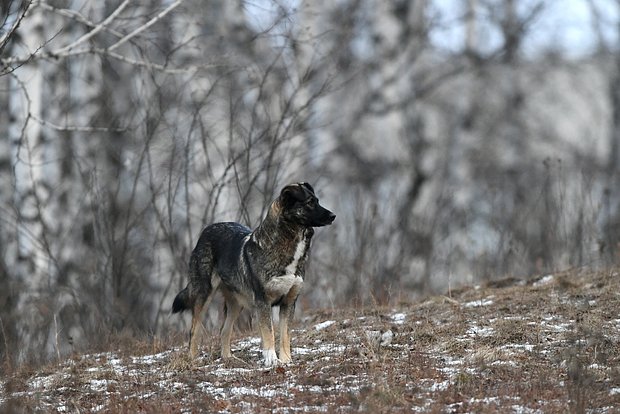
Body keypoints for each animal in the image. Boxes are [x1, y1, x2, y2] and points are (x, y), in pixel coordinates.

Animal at [171, 181, 334, 366]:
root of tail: (206, 231)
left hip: (237, 303)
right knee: (194, 330)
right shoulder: (263, 302)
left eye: (317, 201)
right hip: (204, 296)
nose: (333, 216)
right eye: (309, 203)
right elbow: (269, 333)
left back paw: (228, 358)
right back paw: (193, 360)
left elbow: (285, 335)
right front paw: (272, 360)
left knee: (224, 330)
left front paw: (286, 361)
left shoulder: (288, 302)